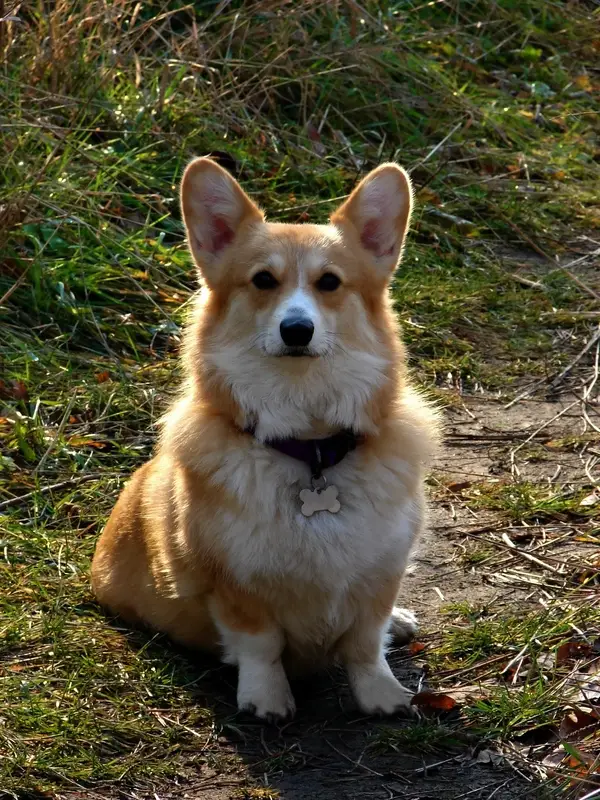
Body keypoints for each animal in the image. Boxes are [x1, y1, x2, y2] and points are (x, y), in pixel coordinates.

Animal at [92, 159, 440, 720]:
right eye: (262, 280)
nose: (296, 330)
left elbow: (365, 643)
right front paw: (266, 700)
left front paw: (383, 696)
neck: (311, 446)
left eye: (329, 282)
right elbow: (261, 646)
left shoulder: (379, 574)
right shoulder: (234, 586)